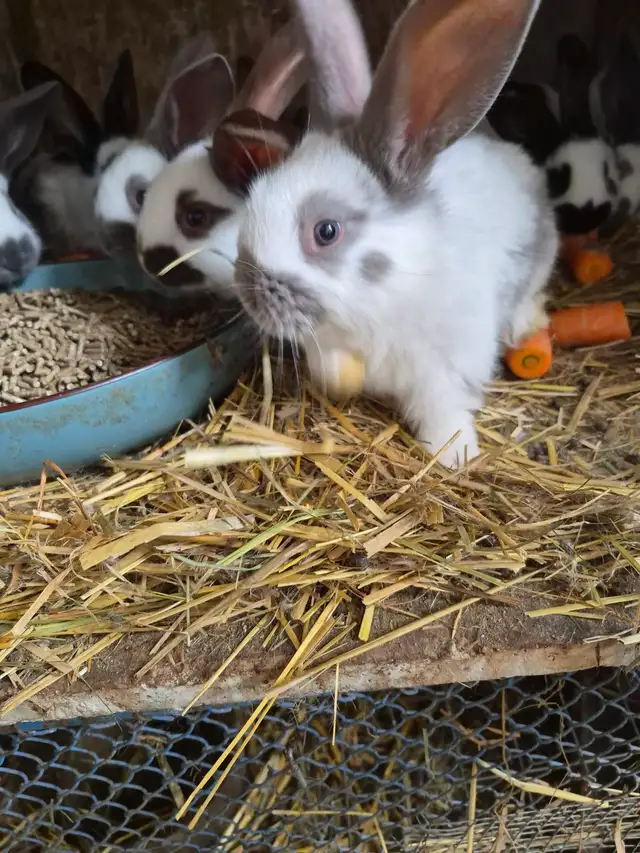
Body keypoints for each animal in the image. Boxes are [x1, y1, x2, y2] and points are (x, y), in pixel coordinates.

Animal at [230, 0, 559, 469]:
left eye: (326, 231)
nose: (246, 287)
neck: (382, 303)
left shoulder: (446, 367)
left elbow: (443, 408)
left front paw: (453, 453)